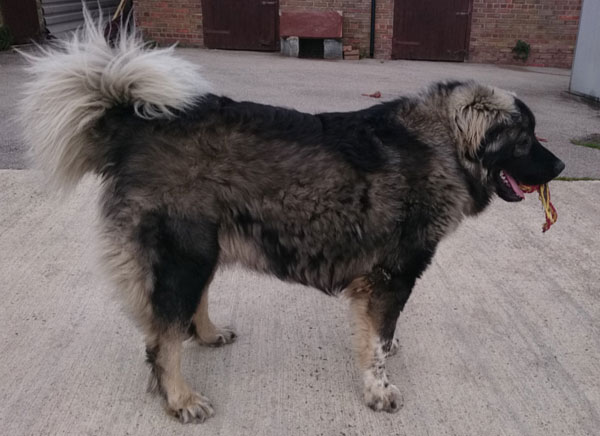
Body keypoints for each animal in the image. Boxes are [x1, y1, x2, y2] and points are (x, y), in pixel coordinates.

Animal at [18, 14, 564, 422]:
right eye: (524, 138)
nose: (559, 166)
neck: (444, 145)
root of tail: (133, 126)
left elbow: (381, 332)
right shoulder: (390, 275)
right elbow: (376, 343)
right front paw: (379, 388)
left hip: (204, 250)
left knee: (189, 312)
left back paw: (210, 334)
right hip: (183, 257)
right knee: (161, 339)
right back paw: (181, 398)